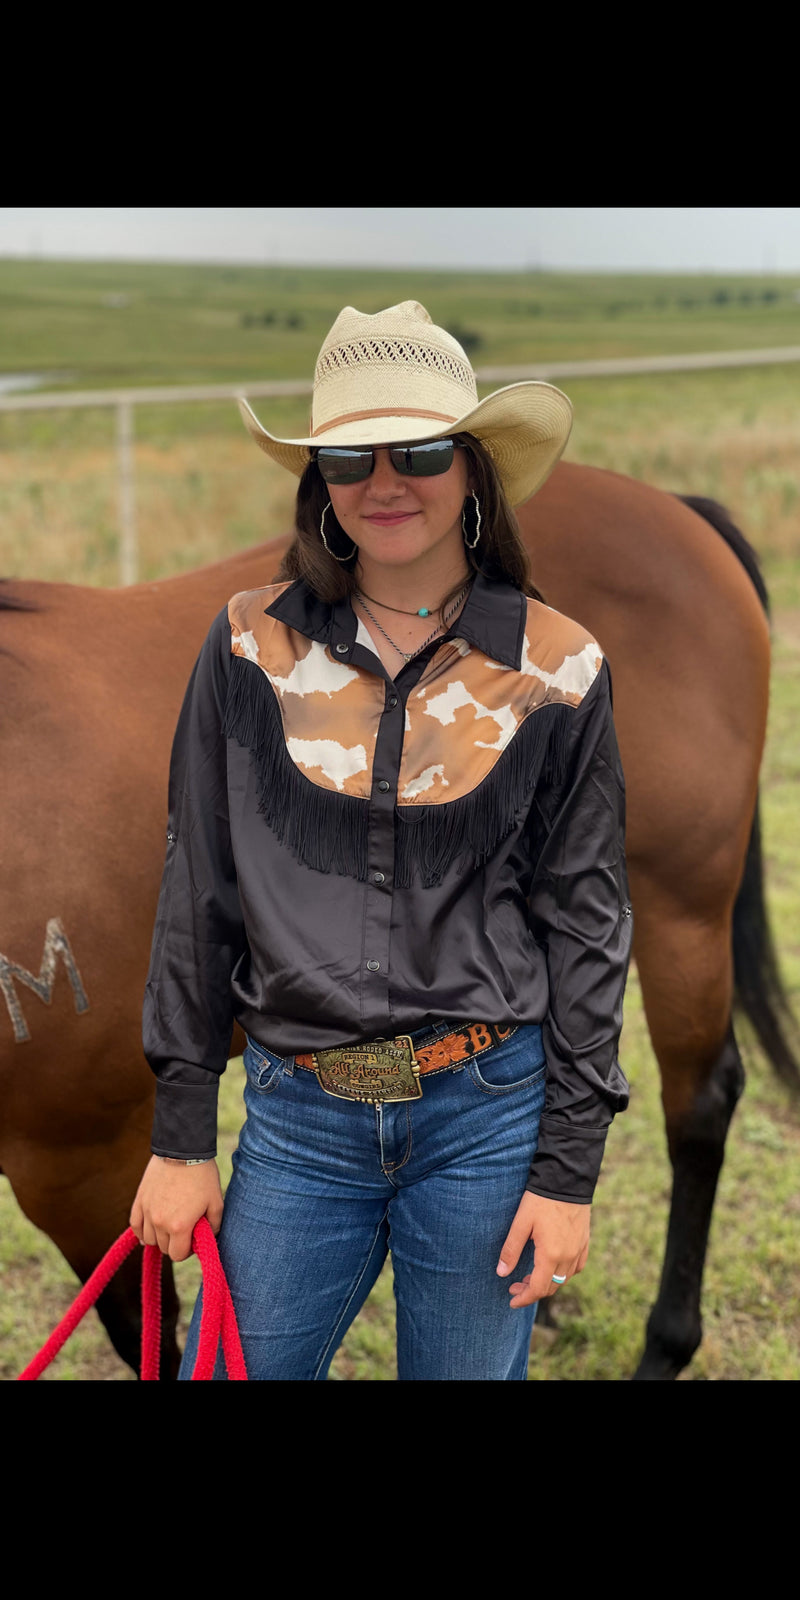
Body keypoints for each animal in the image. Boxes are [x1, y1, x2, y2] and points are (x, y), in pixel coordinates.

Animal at [3, 460, 796, 1376]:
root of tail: (676, 511)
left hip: (681, 910)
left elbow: (151, 1334)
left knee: (699, 1103)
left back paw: (665, 1345)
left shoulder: (81, 1156)